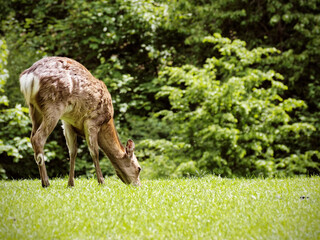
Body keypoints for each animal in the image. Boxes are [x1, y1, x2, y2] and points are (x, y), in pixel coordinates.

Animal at [19, 56, 141, 188]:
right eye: (139, 168)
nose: (138, 185)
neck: (106, 122)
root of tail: (28, 76)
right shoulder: (92, 121)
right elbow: (94, 152)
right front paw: (101, 182)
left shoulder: (68, 123)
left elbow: (73, 151)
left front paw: (70, 183)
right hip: (52, 105)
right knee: (38, 138)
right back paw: (46, 182)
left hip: (34, 109)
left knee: (32, 137)